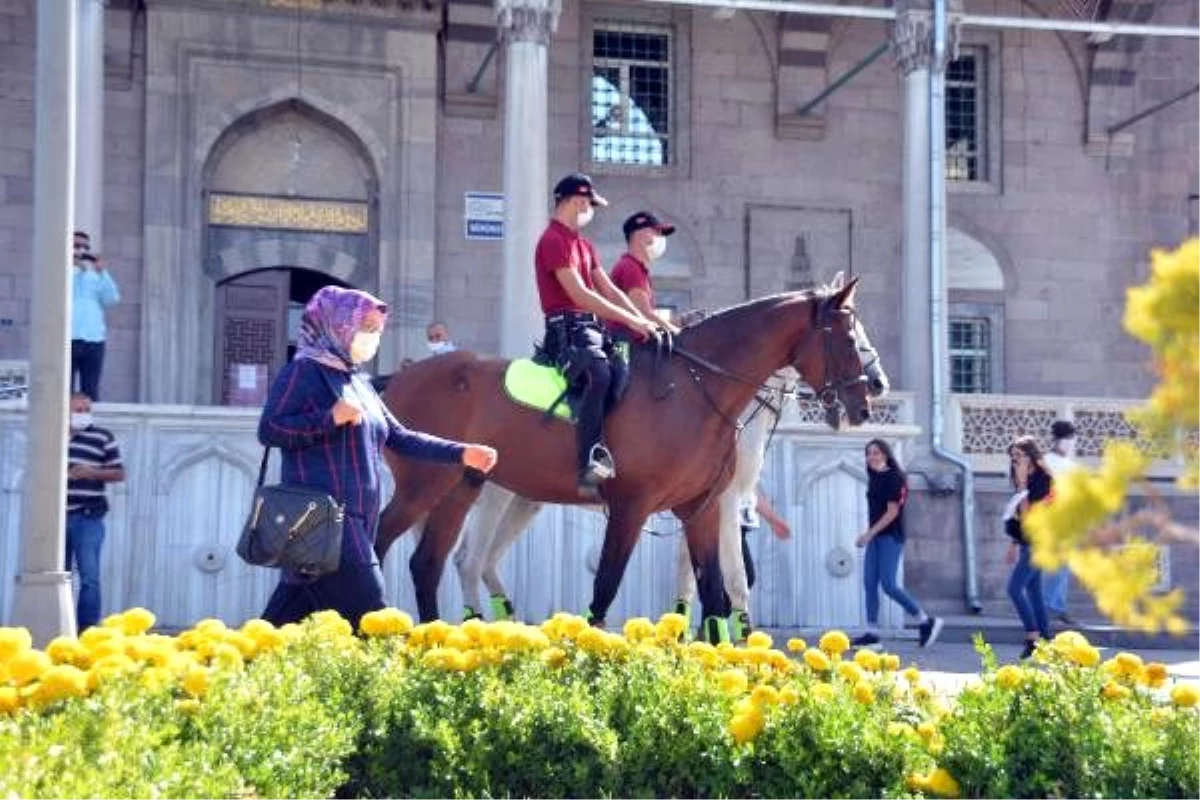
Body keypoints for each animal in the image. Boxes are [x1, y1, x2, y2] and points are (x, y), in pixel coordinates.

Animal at [374, 281, 873, 633]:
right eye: (851, 340)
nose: (866, 403)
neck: (693, 386)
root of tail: (396, 378)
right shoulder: (633, 505)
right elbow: (607, 586)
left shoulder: (702, 507)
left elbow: (714, 593)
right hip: (427, 486)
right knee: (388, 545)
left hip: (462, 488)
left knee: (430, 563)